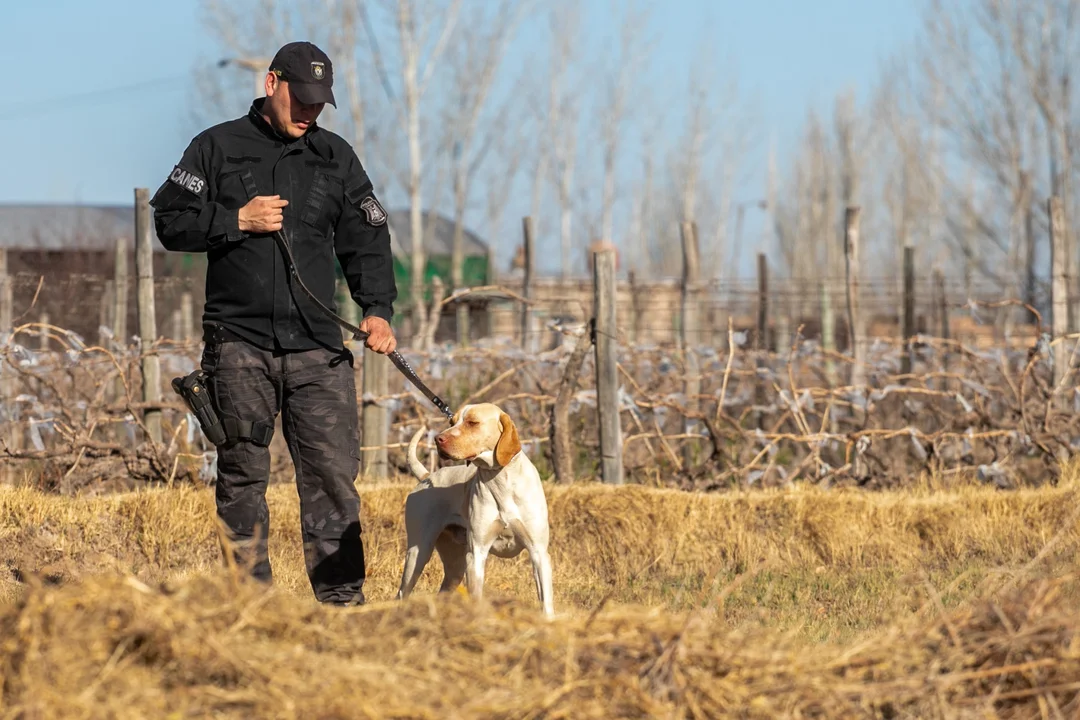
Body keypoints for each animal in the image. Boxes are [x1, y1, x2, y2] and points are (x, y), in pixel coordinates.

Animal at [396, 403, 554, 617]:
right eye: (452, 422)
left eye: (472, 422)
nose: (438, 439)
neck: (500, 480)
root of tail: (427, 476)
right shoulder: (476, 554)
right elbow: (476, 596)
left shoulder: (538, 553)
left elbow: (546, 602)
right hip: (418, 554)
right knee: (402, 593)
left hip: (454, 567)